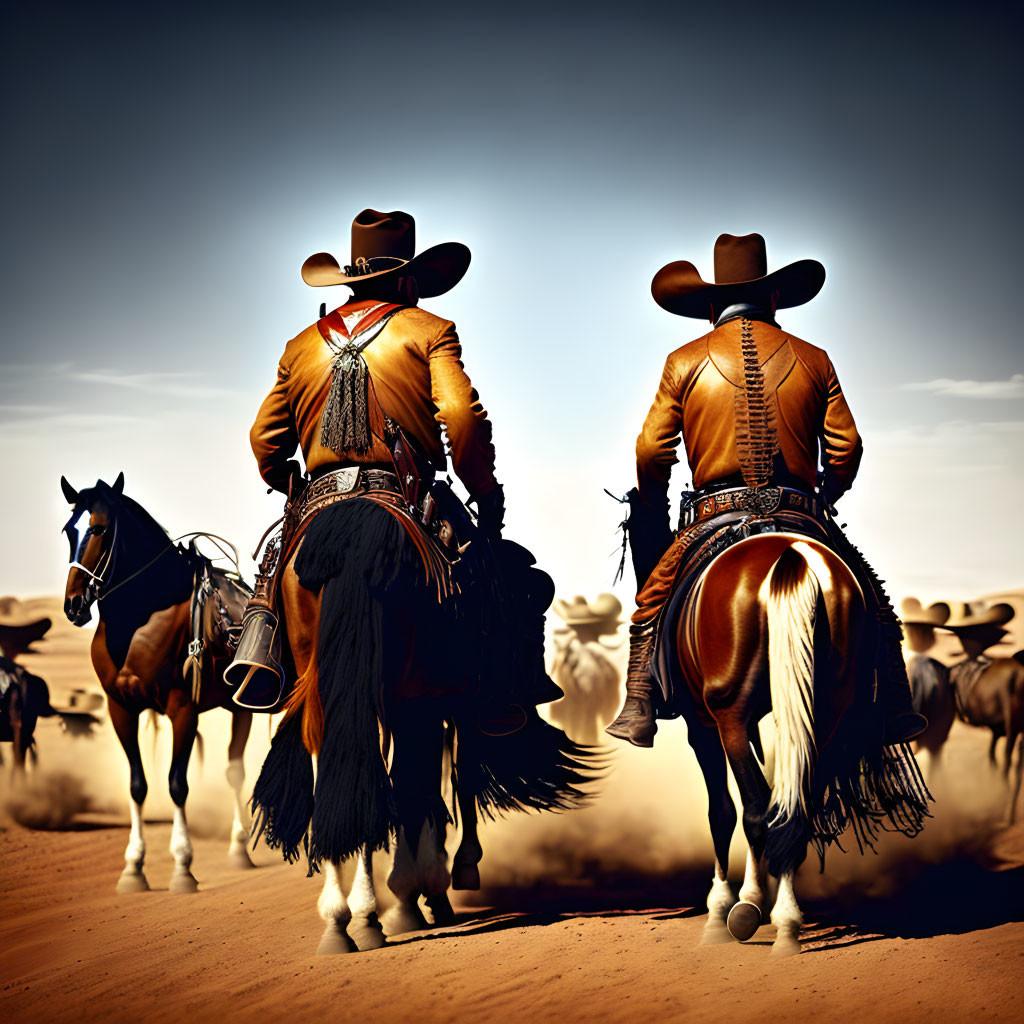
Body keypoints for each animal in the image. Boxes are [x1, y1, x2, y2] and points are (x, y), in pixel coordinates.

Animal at [60, 475, 256, 892]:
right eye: (69, 530)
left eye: (99, 528)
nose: (73, 605)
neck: (138, 627)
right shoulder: (121, 709)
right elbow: (138, 785)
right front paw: (133, 868)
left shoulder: (183, 709)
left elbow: (177, 784)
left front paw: (183, 866)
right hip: (238, 706)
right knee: (236, 769)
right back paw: (239, 849)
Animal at [247, 491, 598, 954]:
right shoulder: (429, 705)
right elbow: (431, 787)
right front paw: (422, 890)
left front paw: (410, 896)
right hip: (410, 698)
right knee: (397, 772)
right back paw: (368, 913)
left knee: (345, 763)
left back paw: (340, 919)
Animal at [659, 532, 933, 954]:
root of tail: (793, 556)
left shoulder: (701, 726)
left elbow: (722, 812)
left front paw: (725, 909)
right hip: (831, 710)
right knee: (796, 808)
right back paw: (786, 920)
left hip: (730, 714)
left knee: (755, 809)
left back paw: (754, 916)